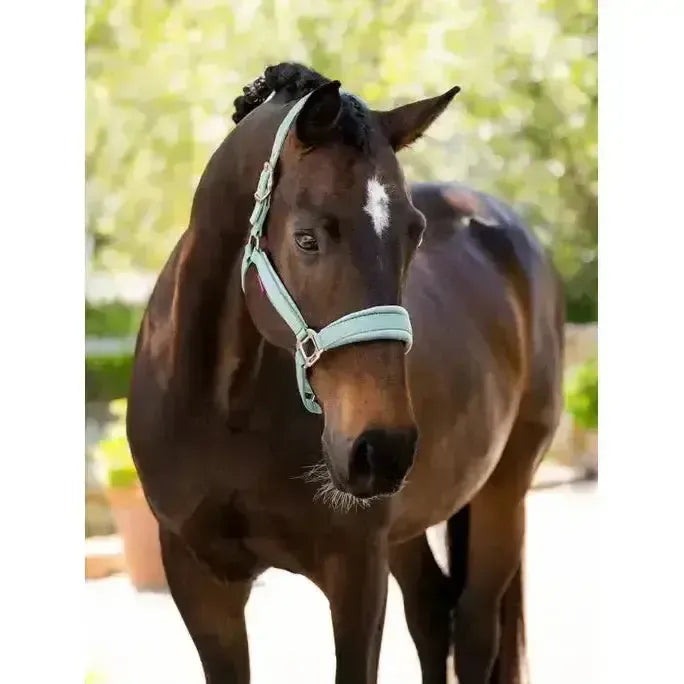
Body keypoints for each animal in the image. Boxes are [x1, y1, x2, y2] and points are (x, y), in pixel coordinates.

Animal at [127, 62, 564, 684]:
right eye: (307, 238)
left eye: (413, 234)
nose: (380, 448)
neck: (223, 410)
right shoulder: (198, 578)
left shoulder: (356, 570)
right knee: (432, 612)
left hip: (504, 491)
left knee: (476, 630)